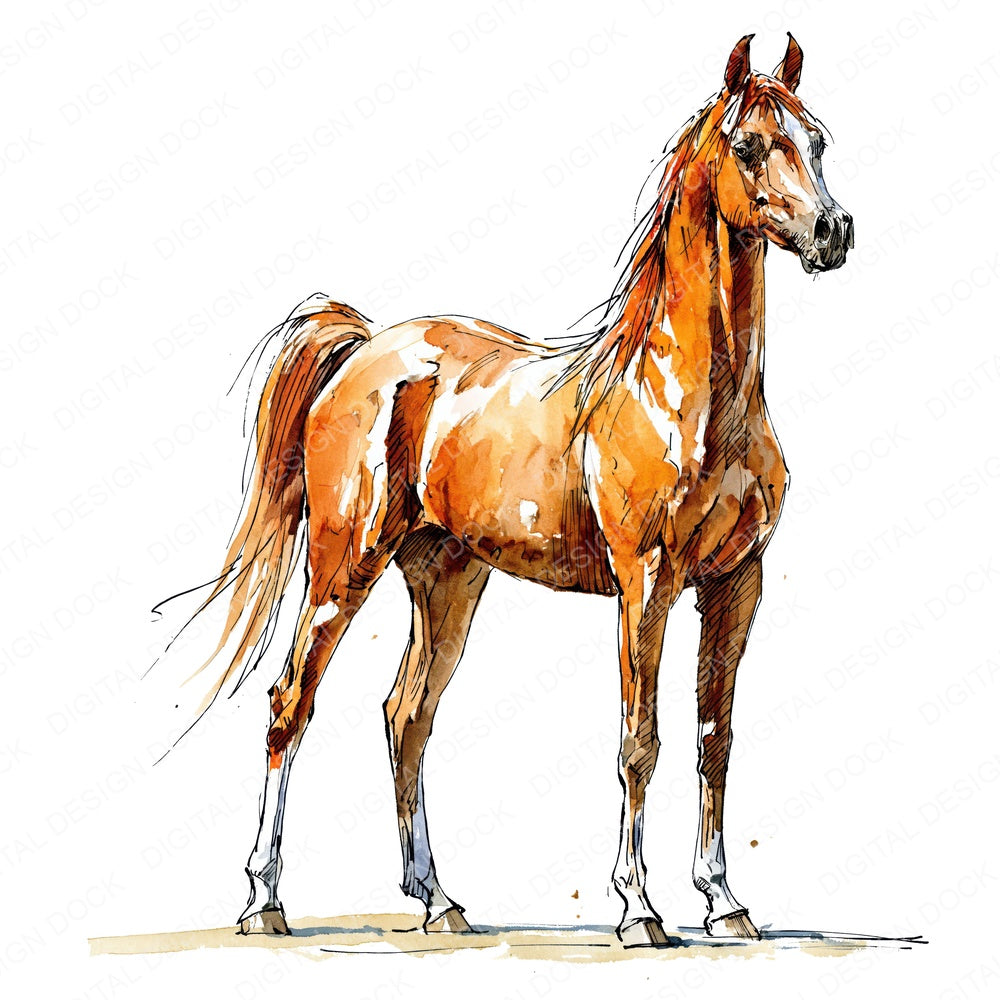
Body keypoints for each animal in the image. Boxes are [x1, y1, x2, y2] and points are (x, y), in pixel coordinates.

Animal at [170, 33, 852, 947]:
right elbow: (641, 741)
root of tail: (365, 347)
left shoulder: (736, 583)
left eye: (818, 141)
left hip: (447, 579)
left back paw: (438, 901)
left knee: (407, 715)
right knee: (291, 705)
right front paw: (640, 909)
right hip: (342, 567)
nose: (833, 231)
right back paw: (264, 902)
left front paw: (725, 902)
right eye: (748, 145)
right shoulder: (646, 585)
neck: (686, 397)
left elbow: (716, 738)